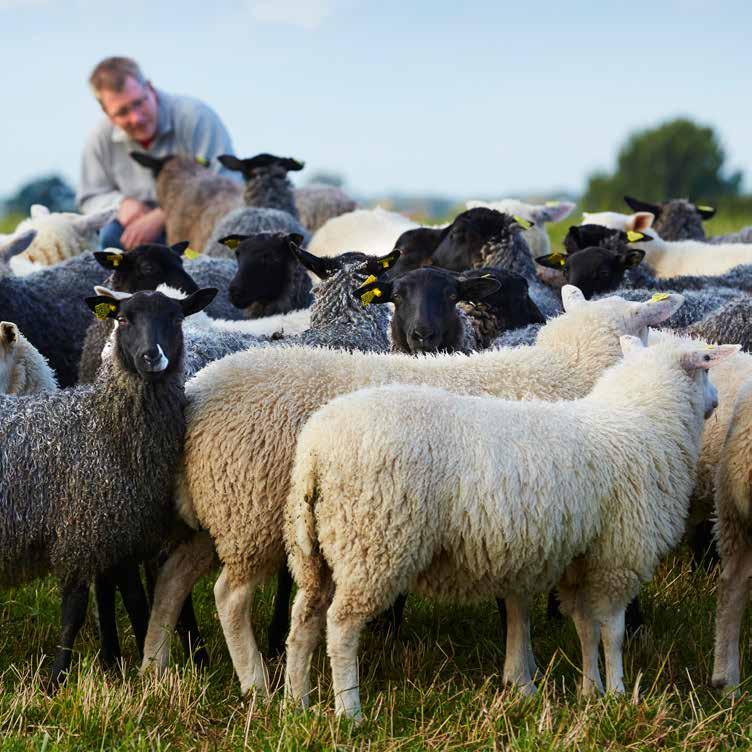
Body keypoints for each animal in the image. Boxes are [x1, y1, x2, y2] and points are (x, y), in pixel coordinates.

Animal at [0, 284, 214, 684]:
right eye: (123, 319)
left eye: (176, 318)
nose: (151, 356)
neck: (103, 423)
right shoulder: (80, 529)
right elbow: (74, 610)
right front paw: (57, 679)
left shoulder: (120, 537)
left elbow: (136, 601)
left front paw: (141, 665)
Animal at [138, 286, 684, 692]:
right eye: (644, 327)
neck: (572, 369)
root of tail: (196, 396)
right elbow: (519, 604)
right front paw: (525, 676)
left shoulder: (519, 519)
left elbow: (517, 601)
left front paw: (520, 677)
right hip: (246, 513)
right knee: (229, 596)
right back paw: (255, 683)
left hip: (213, 514)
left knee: (171, 578)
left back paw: (155, 666)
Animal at [284, 334, 736, 716]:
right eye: (706, 368)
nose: (717, 401)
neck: (640, 421)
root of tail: (315, 448)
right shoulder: (618, 554)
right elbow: (612, 630)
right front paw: (619, 695)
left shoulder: (580, 557)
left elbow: (585, 628)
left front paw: (590, 692)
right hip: (374, 542)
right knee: (341, 626)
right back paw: (349, 711)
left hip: (318, 548)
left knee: (304, 620)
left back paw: (296, 702)